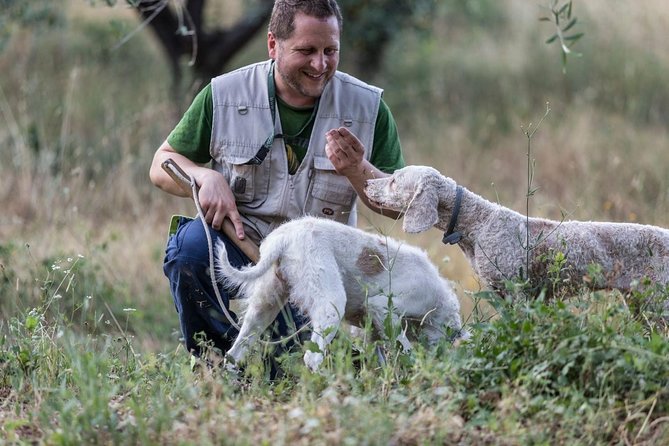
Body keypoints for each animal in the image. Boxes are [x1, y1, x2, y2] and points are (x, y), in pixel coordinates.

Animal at [217, 215, 468, 370]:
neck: (438, 301)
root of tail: (284, 239)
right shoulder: (383, 307)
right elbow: (404, 349)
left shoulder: (372, 330)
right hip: (331, 305)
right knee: (312, 358)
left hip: (264, 306)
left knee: (234, 354)